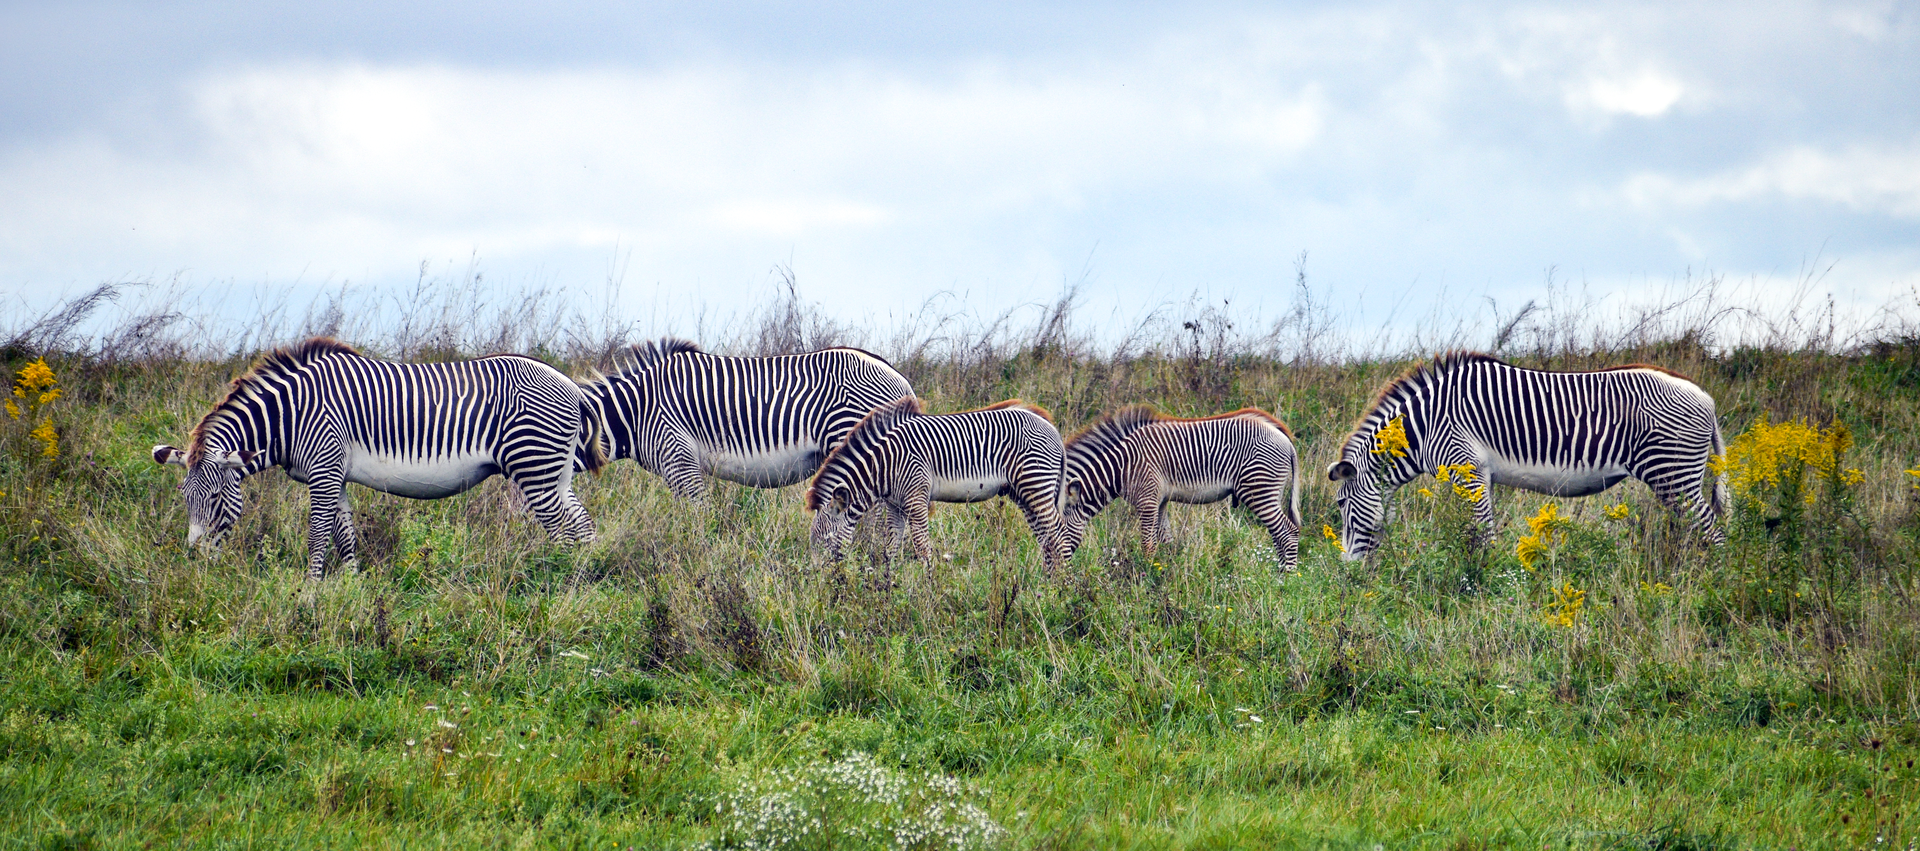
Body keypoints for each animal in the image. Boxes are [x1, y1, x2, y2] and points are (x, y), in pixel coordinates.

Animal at [152, 338, 608, 579]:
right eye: (184, 499)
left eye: (213, 500)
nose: (196, 562)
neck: (289, 416)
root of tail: (571, 385)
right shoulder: (334, 473)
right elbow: (344, 534)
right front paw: (351, 584)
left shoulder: (324, 467)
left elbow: (318, 534)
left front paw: (310, 589)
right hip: (555, 470)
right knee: (582, 524)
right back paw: (584, 578)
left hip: (534, 468)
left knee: (563, 529)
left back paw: (562, 577)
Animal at [805, 396, 1066, 569]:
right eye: (812, 542)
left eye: (826, 540)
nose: (819, 580)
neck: (884, 464)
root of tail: (1053, 429)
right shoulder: (895, 505)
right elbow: (890, 547)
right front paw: (887, 587)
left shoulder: (916, 498)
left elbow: (922, 547)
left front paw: (927, 590)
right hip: (1023, 493)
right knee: (1046, 539)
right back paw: (1047, 582)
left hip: (1037, 485)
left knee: (1058, 535)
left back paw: (1061, 590)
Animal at [1059, 405, 1302, 571]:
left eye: (1056, 527)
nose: (1059, 573)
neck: (1122, 465)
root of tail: (1285, 439)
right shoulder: (1159, 501)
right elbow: (1165, 541)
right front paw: (1165, 570)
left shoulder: (1147, 501)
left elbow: (1148, 544)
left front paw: (1146, 576)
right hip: (1270, 492)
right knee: (1277, 534)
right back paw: (1278, 571)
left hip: (1258, 489)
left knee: (1288, 531)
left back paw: (1285, 579)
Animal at [1326, 351, 1727, 559]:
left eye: (1342, 503)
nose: (1349, 568)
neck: (1424, 426)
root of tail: (1708, 398)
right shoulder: (1477, 474)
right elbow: (1477, 531)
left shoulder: (1466, 466)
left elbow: (1481, 534)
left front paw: (1480, 581)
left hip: (1672, 473)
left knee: (1714, 532)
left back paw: (1715, 583)